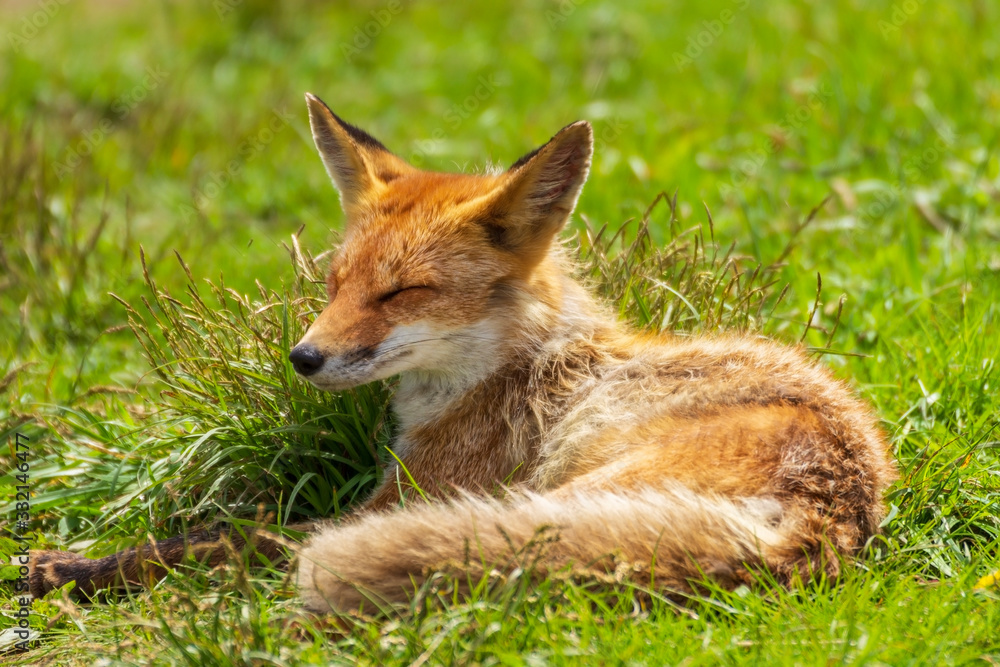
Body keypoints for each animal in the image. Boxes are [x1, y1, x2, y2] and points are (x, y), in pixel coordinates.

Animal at [27, 94, 896, 616]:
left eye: (402, 292)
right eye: (336, 283)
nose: (303, 357)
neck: (508, 368)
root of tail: (831, 516)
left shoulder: (403, 497)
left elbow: (227, 532)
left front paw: (74, 569)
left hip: (558, 490)